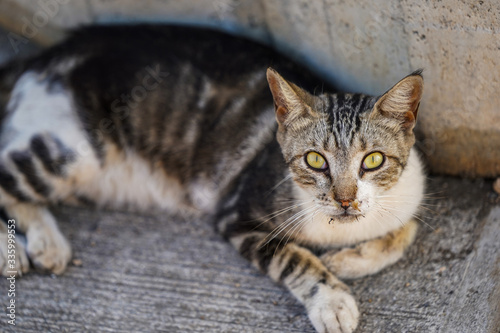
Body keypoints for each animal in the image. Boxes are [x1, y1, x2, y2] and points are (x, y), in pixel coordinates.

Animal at [0, 24, 426, 330]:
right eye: (315, 160)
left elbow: (406, 230)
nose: (345, 199)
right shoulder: (237, 212)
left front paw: (348, 261)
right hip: (72, 152)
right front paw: (332, 299)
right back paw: (17, 250)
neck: (340, 227)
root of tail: (47, 56)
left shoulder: (410, 190)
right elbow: (293, 257)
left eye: (373, 160)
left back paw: (45, 244)